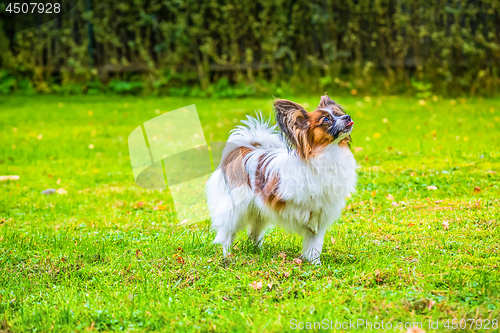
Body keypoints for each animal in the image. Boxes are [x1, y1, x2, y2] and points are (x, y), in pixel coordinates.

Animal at [205, 94, 358, 264]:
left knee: (254, 233)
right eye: (326, 119)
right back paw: (228, 256)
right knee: (227, 234)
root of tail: (243, 150)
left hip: (258, 212)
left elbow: (315, 243)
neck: (328, 153)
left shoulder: (322, 214)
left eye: (337, 114)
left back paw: (258, 251)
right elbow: (301, 206)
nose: (347, 116)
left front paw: (315, 263)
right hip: (236, 209)